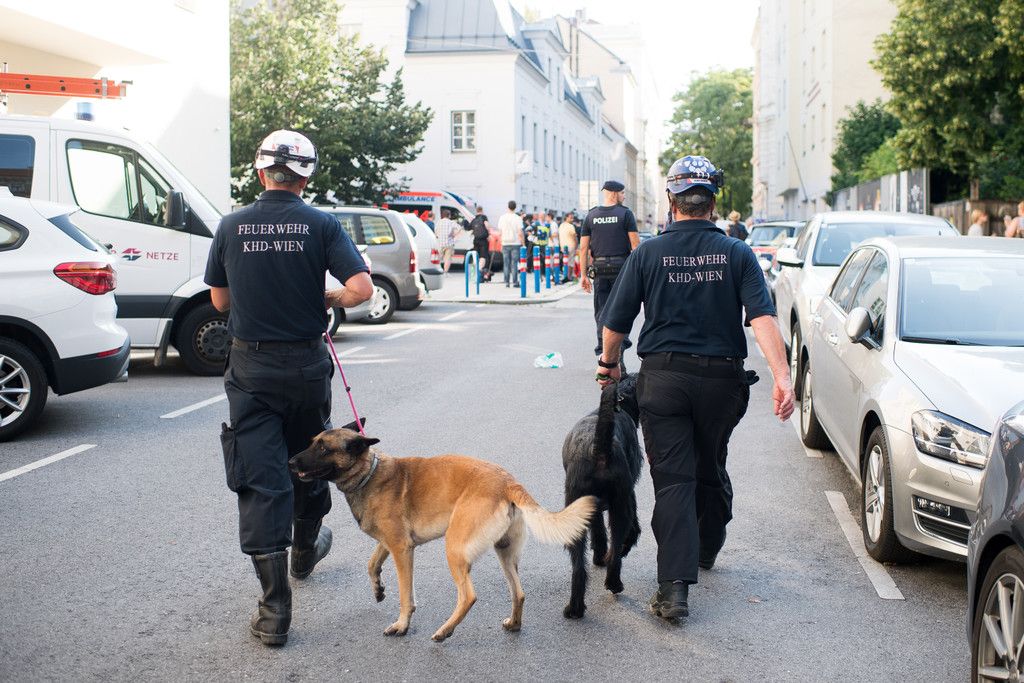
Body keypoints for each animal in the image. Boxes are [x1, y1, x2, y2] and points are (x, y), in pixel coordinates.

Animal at [288, 426, 596, 642]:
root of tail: (508, 482)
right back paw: (514, 624)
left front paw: (402, 624)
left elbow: (406, 594)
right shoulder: (390, 543)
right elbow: (372, 564)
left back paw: (445, 631)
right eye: (313, 441)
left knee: (468, 596)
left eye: (323, 448)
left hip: (454, 549)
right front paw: (378, 589)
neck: (368, 473)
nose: (290, 462)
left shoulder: (401, 549)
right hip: (505, 553)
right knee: (518, 593)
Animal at [561, 372, 643, 619]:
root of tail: (599, 450)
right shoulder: (629, 493)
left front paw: (598, 557)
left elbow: (598, 531)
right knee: (617, 545)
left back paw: (576, 607)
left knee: (579, 565)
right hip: (620, 507)